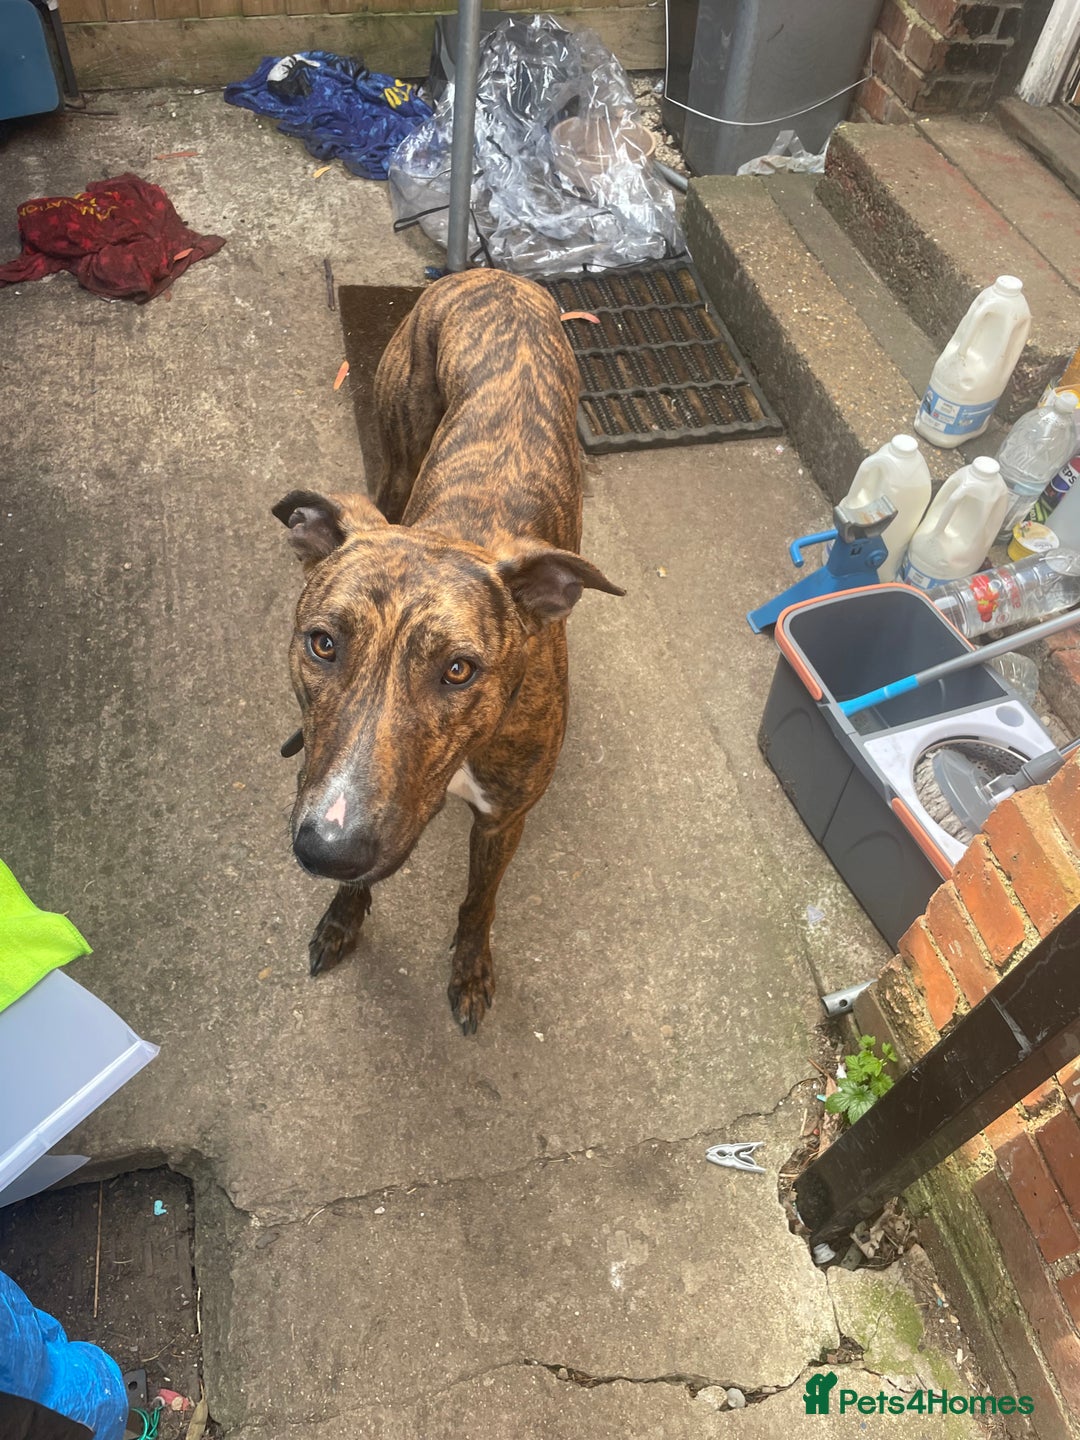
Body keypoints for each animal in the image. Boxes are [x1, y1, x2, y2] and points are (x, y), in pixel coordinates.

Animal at [273, 270, 623, 1032]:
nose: (328, 850)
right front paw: (343, 918)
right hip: (398, 458)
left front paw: (469, 969)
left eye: (459, 670)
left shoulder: (502, 820)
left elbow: (477, 902)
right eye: (323, 644)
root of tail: (497, 274)